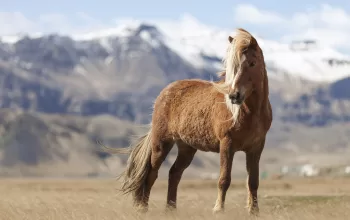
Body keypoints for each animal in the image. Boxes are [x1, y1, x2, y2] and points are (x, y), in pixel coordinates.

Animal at [104, 27, 274, 215]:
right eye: (232, 67)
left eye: (252, 63)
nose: (234, 96)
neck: (249, 113)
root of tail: (164, 93)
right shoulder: (227, 145)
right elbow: (224, 179)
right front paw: (218, 210)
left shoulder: (256, 148)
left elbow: (253, 181)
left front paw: (254, 211)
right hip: (161, 143)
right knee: (152, 173)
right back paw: (143, 208)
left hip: (186, 147)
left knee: (174, 173)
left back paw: (171, 209)